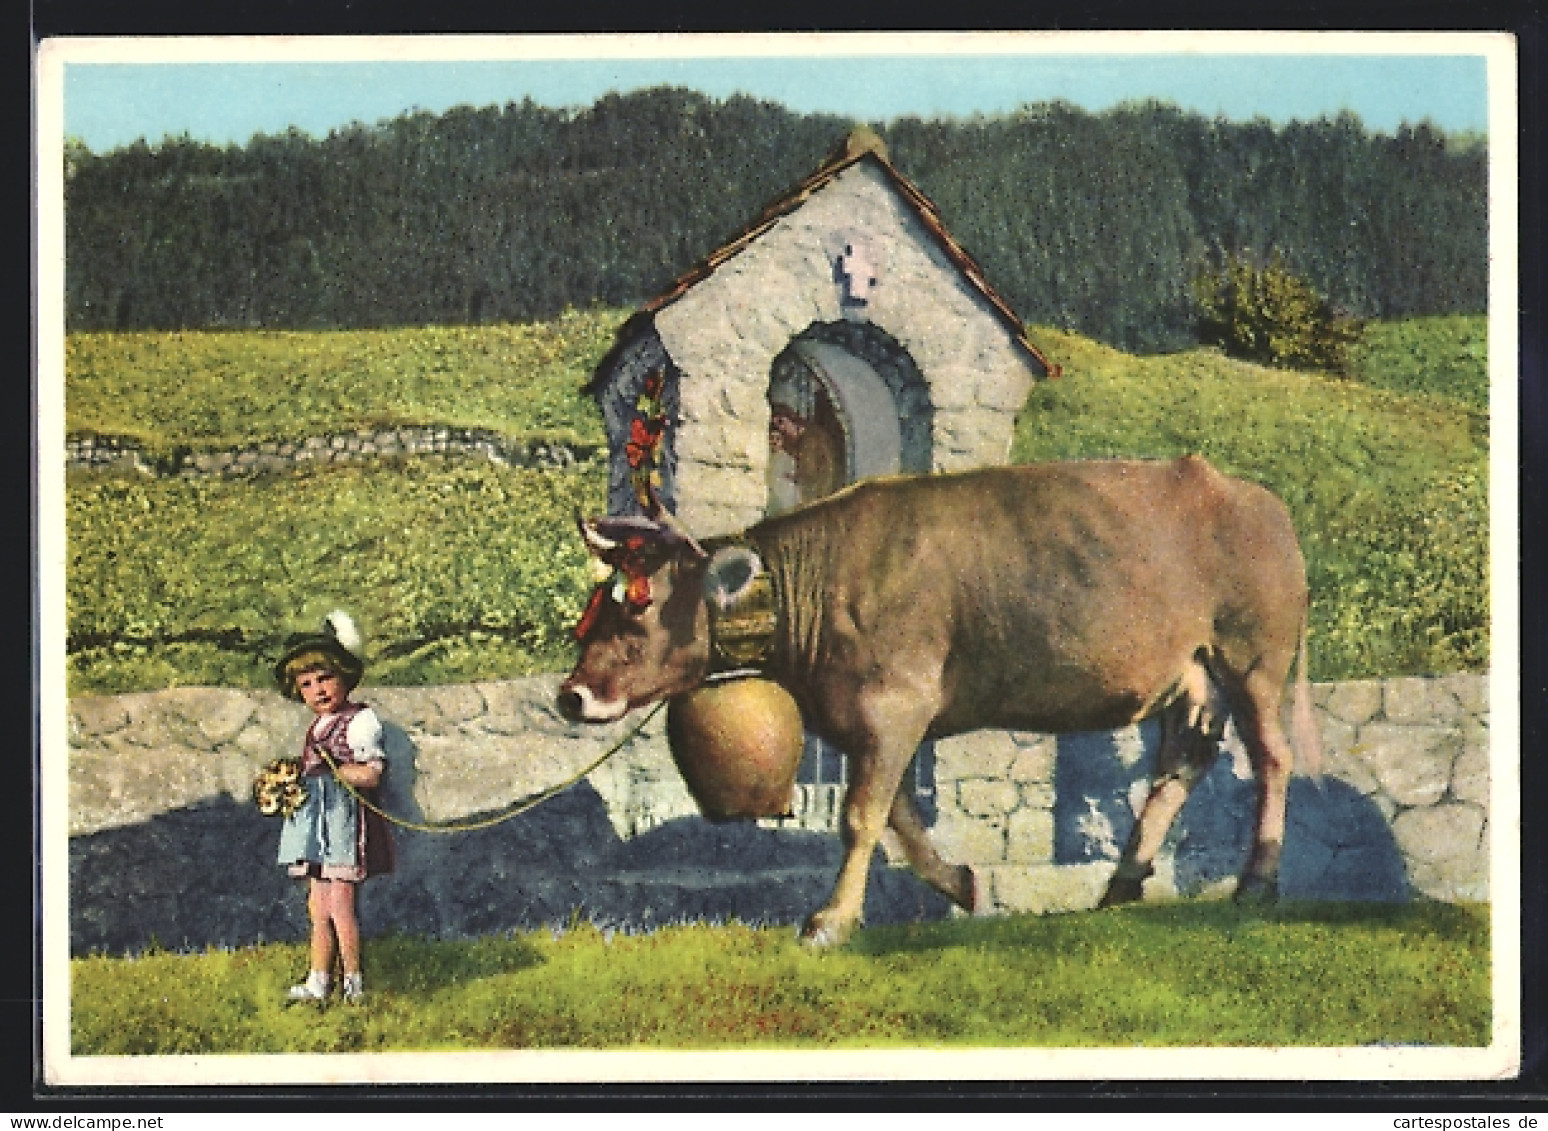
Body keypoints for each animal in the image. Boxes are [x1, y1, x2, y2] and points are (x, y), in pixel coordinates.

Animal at [557, 457, 1318, 946]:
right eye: (599, 604)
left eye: (638, 605)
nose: (571, 695)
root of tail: (1254, 497)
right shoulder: (869, 718)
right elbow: (895, 813)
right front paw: (958, 883)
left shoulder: (895, 702)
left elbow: (861, 817)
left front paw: (830, 923)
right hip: (1189, 671)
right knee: (1182, 761)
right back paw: (1123, 883)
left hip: (1255, 654)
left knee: (1272, 758)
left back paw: (1258, 880)